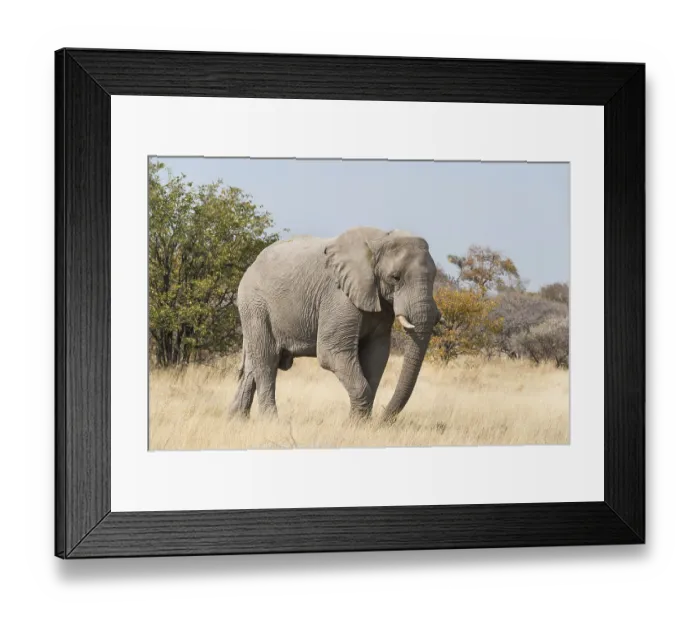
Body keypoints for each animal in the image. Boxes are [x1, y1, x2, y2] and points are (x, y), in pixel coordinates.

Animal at [229, 226, 441, 423]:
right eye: (395, 277)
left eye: (434, 277)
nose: (383, 419)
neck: (379, 242)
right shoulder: (338, 295)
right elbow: (331, 352)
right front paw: (354, 424)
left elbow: (377, 355)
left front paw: (360, 423)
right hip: (255, 305)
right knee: (267, 359)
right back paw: (271, 421)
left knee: (253, 363)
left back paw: (236, 419)